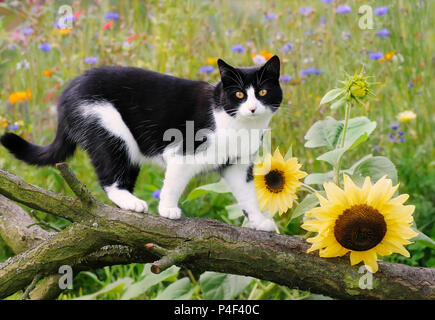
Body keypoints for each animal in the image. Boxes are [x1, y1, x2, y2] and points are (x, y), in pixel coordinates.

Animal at [0, 56, 282, 231]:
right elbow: (173, 183)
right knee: (110, 177)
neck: (237, 125)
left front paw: (259, 222)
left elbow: (248, 195)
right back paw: (132, 203)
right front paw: (167, 209)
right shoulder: (182, 153)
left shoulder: (238, 165)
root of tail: (67, 92)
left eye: (263, 92)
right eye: (239, 94)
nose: (253, 108)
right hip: (109, 130)